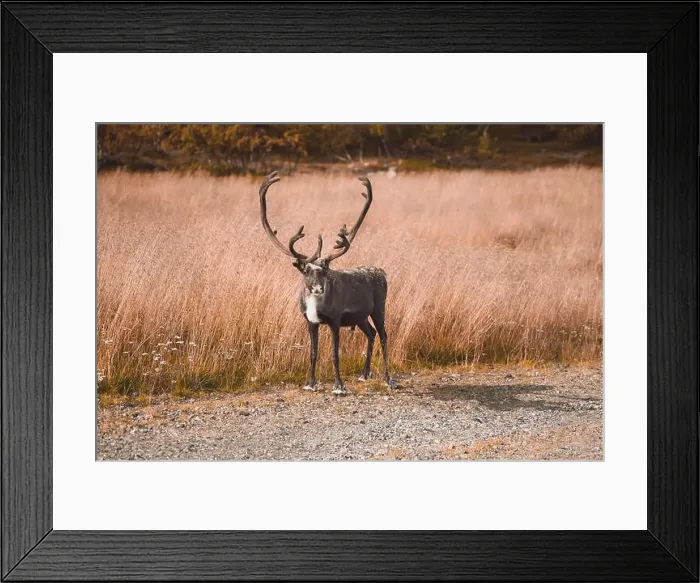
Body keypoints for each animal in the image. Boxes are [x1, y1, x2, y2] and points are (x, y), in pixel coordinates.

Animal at [258, 171, 396, 396]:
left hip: (379, 308)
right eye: (305, 270)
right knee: (371, 333)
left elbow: (334, 354)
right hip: (360, 317)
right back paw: (364, 374)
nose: (317, 288)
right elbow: (313, 353)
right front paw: (310, 383)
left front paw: (339, 387)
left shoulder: (335, 320)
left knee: (384, 335)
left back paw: (387, 379)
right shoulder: (310, 321)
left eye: (325, 270)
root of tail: (381, 272)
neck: (316, 305)